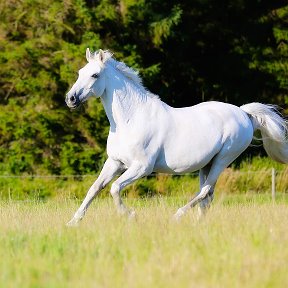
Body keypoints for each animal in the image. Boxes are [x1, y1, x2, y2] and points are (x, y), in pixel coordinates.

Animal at [65, 49, 288, 225]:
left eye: (95, 75)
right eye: (80, 72)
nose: (71, 99)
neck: (131, 119)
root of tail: (244, 113)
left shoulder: (142, 168)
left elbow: (114, 188)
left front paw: (130, 215)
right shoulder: (115, 162)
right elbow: (95, 188)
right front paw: (73, 222)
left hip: (223, 159)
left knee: (205, 191)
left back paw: (177, 216)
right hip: (207, 164)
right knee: (207, 194)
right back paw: (197, 223)